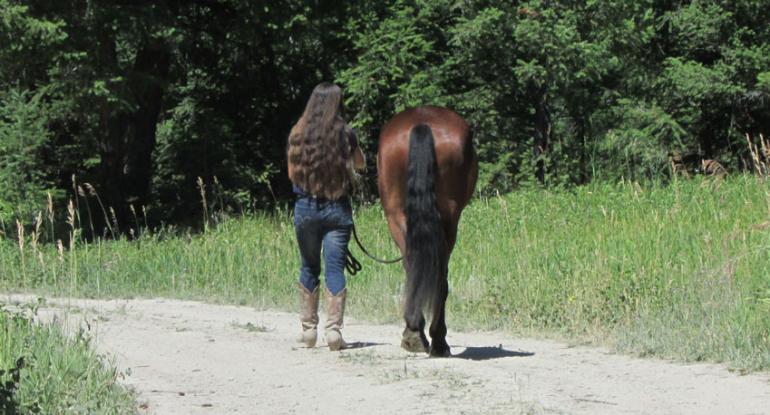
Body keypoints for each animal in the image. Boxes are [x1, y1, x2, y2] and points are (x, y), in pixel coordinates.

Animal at [377, 106, 478, 357]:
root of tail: (421, 124)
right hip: (446, 219)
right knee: (437, 271)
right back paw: (434, 339)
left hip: (398, 217)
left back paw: (420, 336)